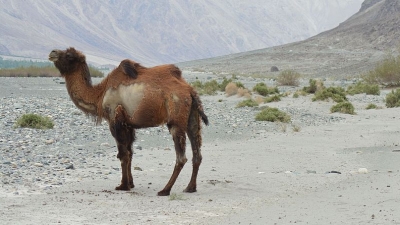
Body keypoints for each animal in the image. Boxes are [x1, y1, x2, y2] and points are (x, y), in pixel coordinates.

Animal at [48, 47, 208, 195]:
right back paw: (190, 188)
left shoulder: (115, 120)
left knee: (181, 157)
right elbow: (130, 153)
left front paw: (123, 185)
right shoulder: (129, 124)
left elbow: (122, 154)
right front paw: (130, 183)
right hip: (193, 117)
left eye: (69, 55)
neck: (99, 95)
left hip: (176, 118)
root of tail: (190, 91)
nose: (52, 52)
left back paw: (165, 190)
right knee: (197, 153)